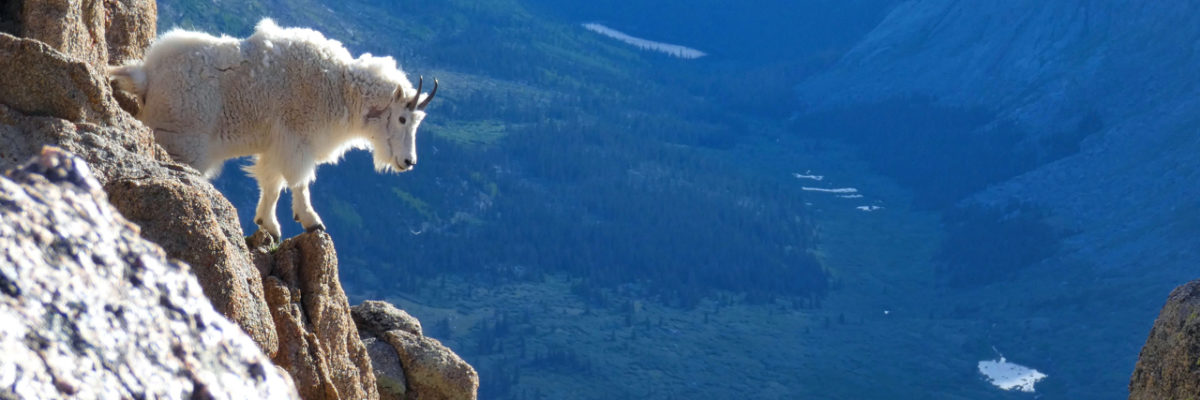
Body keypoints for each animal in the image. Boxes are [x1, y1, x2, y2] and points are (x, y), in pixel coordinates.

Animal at [110, 19, 439, 240]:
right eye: (402, 119)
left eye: (416, 121)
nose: (409, 162)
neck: (341, 88)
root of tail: (147, 75)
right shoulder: (296, 142)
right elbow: (299, 181)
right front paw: (311, 221)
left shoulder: (275, 146)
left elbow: (271, 183)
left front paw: (268, 225)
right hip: (183, 143)